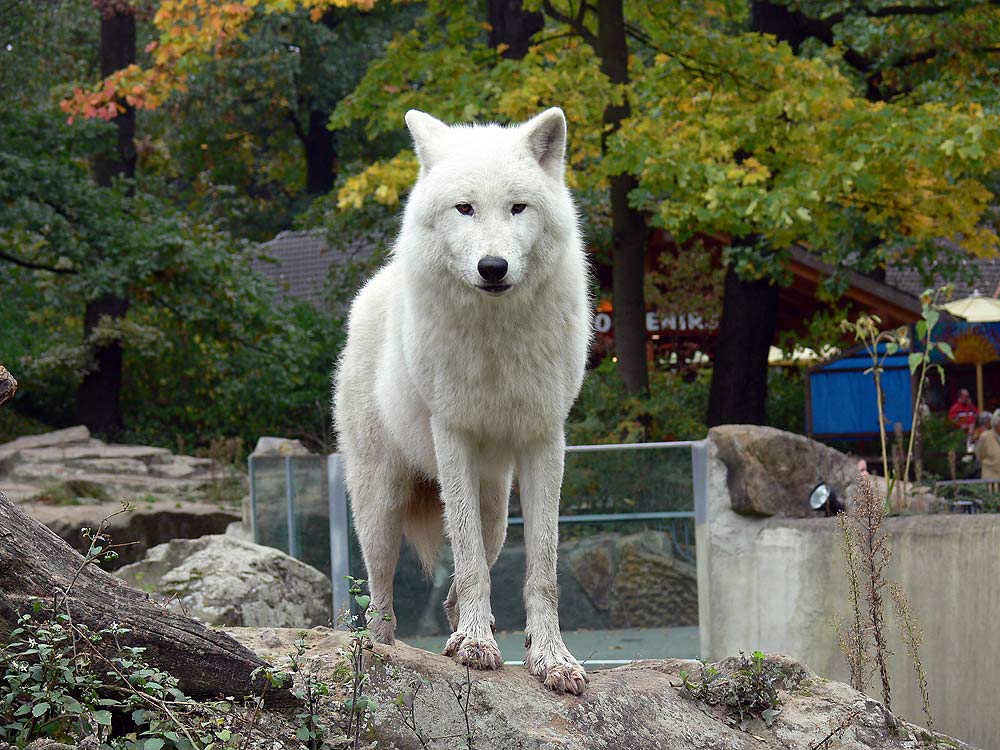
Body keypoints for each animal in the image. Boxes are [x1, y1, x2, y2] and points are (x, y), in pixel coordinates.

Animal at [332, 106, 588, 692]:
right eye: (464, 208)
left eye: (517, 207)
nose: (493, 267)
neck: (497, 338)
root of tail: (376, 284)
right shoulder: (452, 437)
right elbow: (466, 560)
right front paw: (475, 647)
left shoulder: (545, 439)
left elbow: (542, 569)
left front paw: (551, 660)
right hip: (380, 505)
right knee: (380, 600)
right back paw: (384, 654)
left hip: (496, 510)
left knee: (467, 575)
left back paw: (460, 629)